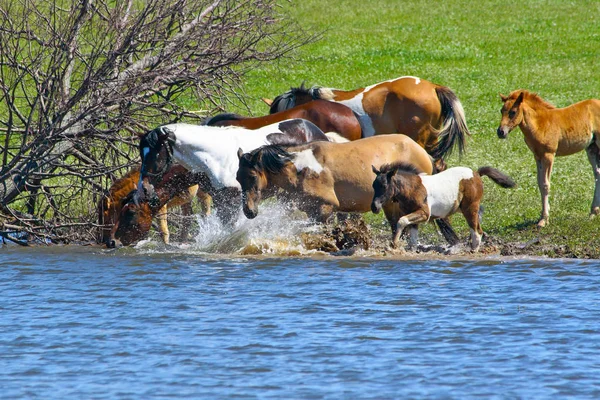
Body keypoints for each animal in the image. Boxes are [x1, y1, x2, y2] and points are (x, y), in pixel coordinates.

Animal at [234, 134, 436, 222]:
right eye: (238, 178)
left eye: (252, 176)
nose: (248, 211)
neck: (300, 168)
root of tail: (422, 151)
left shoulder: (324, 210)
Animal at [370, 162, 516, 250]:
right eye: (373, 186)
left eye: (384, 186)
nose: (374, 207)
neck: (413, 188)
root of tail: (476, 173)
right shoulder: (414, 215)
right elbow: (413, 238)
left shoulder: (425, 214)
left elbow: (401, 221)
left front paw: (393, 244)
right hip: (466, 208)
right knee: (478, 224)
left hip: (469, 208)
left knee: (476, 231)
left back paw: (473, 250)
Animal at [496, 91, 600, 228]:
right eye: (501, 110)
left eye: (513, 112)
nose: (500, 132)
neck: (539, 124)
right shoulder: (537, 156)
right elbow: (540, 183)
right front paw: (542, 215)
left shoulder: (548, 155)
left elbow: (546, 184)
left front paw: (544, 219)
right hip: (591, 148)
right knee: (597, 174)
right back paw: (593, 211)